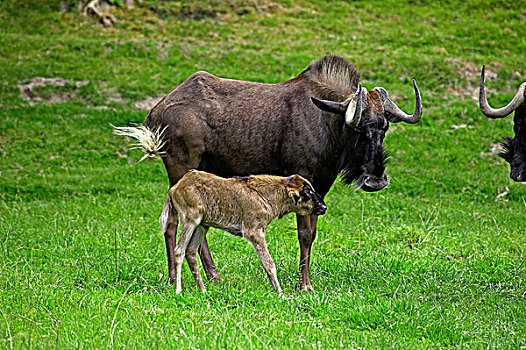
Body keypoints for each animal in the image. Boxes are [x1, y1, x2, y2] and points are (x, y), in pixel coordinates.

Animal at [159, 169, 328, 292]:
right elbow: (269, 264)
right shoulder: (254, 232)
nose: (323, 207)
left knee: (191, 251)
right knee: (179, 251)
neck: (267, 195)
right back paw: (179, 290)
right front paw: (280, 294)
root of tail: (174, 188)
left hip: (201, 226)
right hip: (190, 221)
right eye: (307, 193)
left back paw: (202, 290)